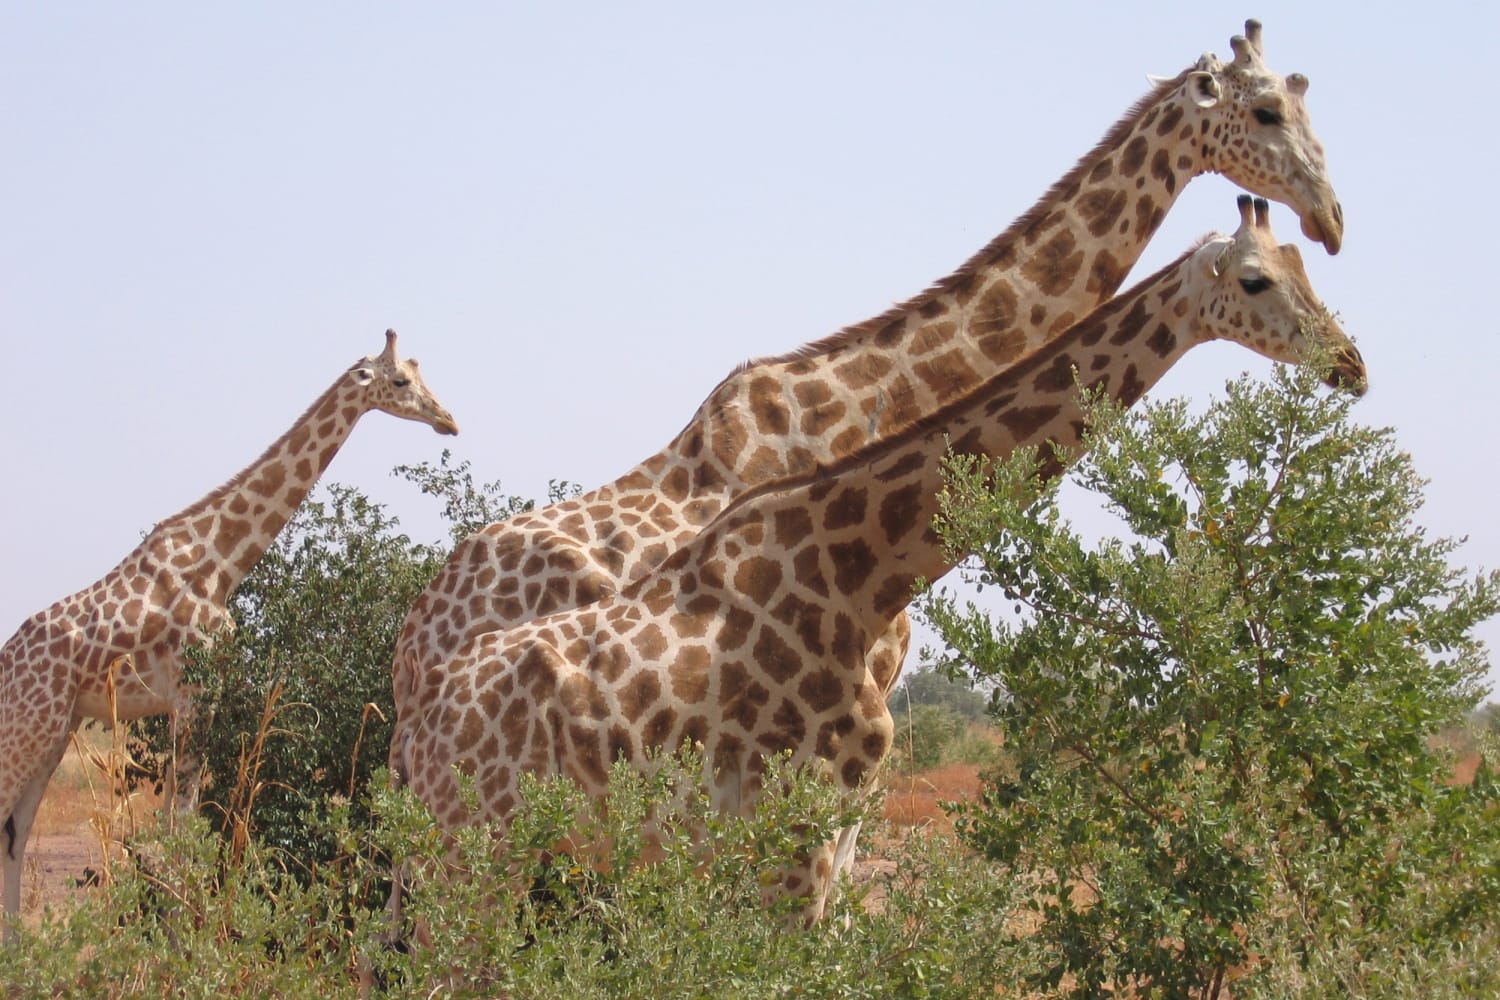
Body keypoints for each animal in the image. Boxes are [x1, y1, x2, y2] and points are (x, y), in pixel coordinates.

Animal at [0, 332, 456, 935]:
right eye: (401, 381)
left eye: (421, 374)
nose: (449, 420)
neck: (220, 560)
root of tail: (5, 662)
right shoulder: (191, 696)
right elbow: (177, 833)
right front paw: (178, 944)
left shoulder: (198, 698)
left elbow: (181, 829)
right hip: (28, 726)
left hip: (56, 729)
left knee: (16, 830)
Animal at [399, 199, 1374, 929]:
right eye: (1254, 279)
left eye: (1309, 267)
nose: (1351, 362)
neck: (863, 575)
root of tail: (420, 716)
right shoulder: (797, 835)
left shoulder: (834, 824)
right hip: (470, 858)